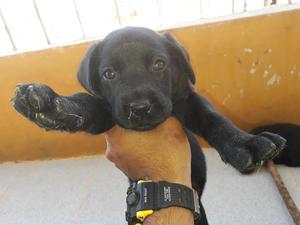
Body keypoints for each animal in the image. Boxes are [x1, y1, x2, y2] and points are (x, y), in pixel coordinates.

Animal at [11, 27, 286, 224]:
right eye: (109, 74)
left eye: (159, 64)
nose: (140, 107)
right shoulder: (107, 113)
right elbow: (85, 104)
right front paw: (52, 106)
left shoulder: (186, 99)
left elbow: (212, 117)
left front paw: (246, 143)